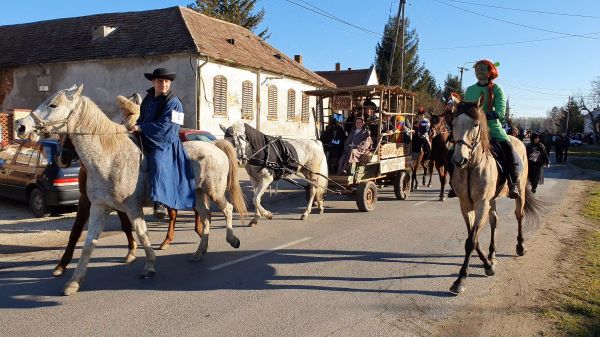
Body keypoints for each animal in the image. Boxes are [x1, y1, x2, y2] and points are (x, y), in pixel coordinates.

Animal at [16, 85, 246, 296]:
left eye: (53, 105)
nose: (21, 126)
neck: (109, 158)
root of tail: (215, 146)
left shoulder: (132, 207)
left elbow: (142, 234)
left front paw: (149, 265)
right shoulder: (99, 207)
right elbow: (89, 243)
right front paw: (74, 281)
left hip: (214, 191)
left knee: (227, 209)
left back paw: (233, 239)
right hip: (197, 194)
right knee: (206, 217)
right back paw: (199, 252)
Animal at [450, 93, 544, 292]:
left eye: (475, 124)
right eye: (453, 123)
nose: (459, 160)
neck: (471, 166)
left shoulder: (481, 204)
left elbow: (471, 241)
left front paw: (460, 279)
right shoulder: (466, 205)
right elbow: (473, 237)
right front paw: (487, 264)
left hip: (519, 193)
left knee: (519, 215)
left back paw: (520, 246)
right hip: (491, 200)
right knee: (495, 221)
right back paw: (492, 254)